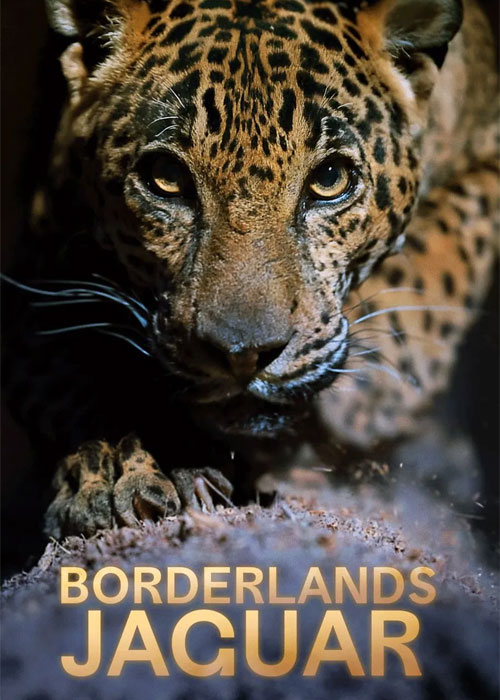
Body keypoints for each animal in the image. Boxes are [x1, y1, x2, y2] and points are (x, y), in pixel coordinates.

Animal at [4, 0, 498, 540]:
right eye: (166, 179)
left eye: (330, 179)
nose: (243, 355)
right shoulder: (36, 266)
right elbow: (70, 372)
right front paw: (122, 464)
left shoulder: (488, 156)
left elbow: (438, 259)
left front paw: (369, 393)